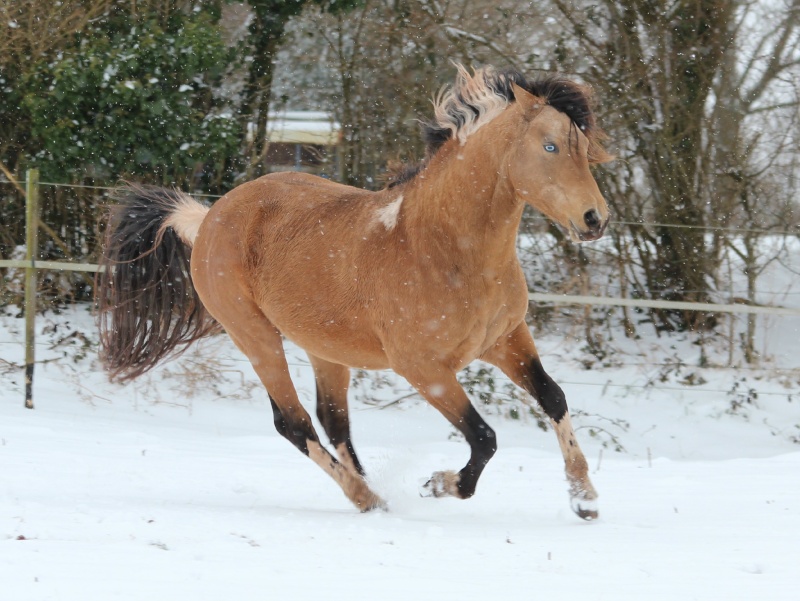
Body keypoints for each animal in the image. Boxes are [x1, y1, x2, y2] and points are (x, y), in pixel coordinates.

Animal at [98, 63, 612, 516]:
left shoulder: (506, 339)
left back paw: (370, 490)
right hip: (255, 336)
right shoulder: (423, 368)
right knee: (294, 422)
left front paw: (584, 497)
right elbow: (484, 437)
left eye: (583, 146)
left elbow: (553, 398)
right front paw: (439, 484)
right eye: (550, 146)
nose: (595, 220)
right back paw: (367, 499)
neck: (447, 249)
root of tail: (208, 218)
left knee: (333, 422)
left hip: (325, 348)